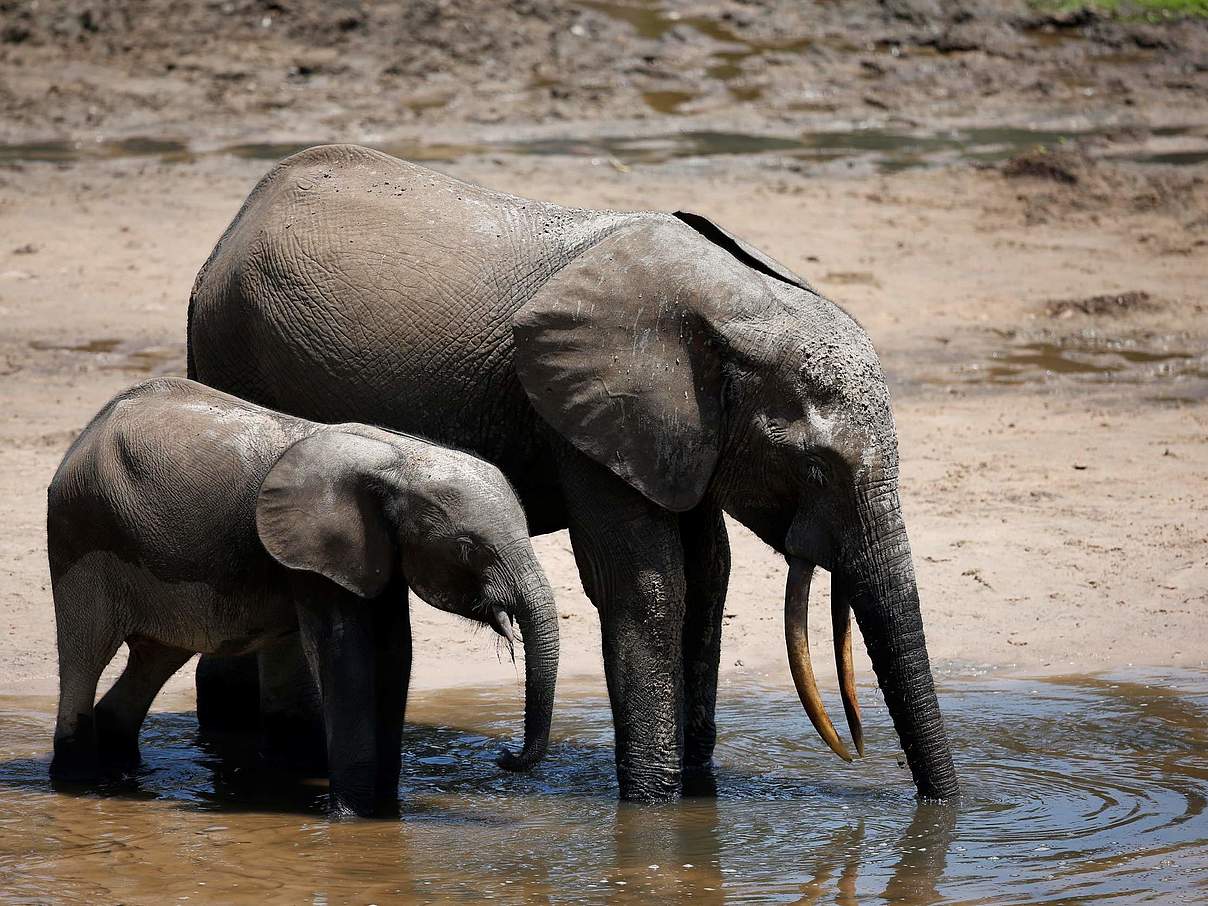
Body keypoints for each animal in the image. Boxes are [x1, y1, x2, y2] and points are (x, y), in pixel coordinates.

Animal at [44, 376, 558, 816]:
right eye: (468, 548)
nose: (504, 756)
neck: (400, 461)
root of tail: (90, 431)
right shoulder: (313, 552)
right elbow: (346, 657)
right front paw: (353, 819)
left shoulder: (373, 552)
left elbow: (394, 655)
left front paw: (385, 815)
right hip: (81, 537)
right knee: (87, 653)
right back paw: (77, 784)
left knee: (158, 655)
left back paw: (121, 773)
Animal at [186, 145, 961, 806]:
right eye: (814, 465)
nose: (932, 808)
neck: (736, 304)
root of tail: (235, 225)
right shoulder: (584, 419)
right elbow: (644, 583)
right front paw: (654, 810)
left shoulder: (676, 436)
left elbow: (708, 572)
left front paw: (696, 795)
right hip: (230, 350)